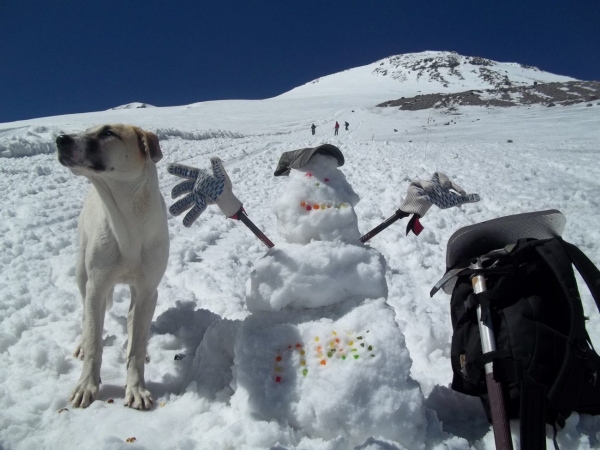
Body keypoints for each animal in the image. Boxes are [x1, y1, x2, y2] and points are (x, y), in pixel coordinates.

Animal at [56, 125, 170, 410]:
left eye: (108, 132)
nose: (60, 139)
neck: (127, 222)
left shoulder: (147, 291)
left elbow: (136, 348)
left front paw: (136, 388)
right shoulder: (97, 287)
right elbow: (95, 344)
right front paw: (86, 385)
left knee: (133, 326)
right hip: (81, 273)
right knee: (86, 317)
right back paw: (82, 343)